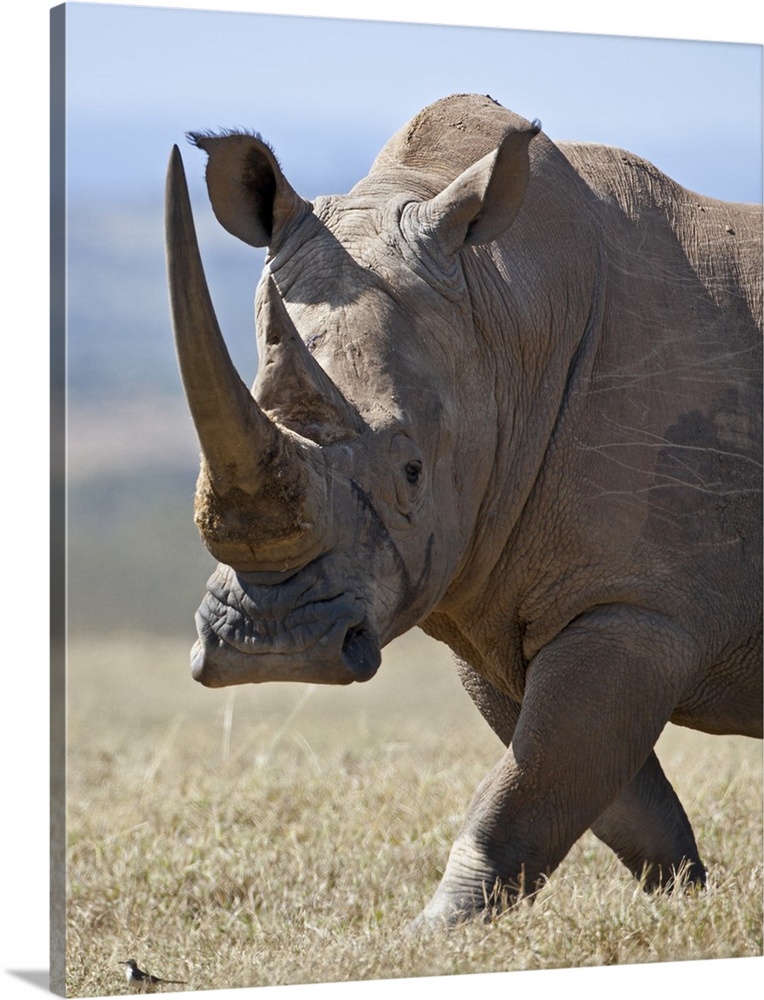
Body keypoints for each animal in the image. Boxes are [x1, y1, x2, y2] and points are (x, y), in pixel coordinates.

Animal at [167, 95, 764, 928]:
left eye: (413, 472)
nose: (273, 649)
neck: (500, 317)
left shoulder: (636, 608)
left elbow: (526, 791)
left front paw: (430, 935)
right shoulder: (492, 600)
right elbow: (603, 796)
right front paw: (684, 905)